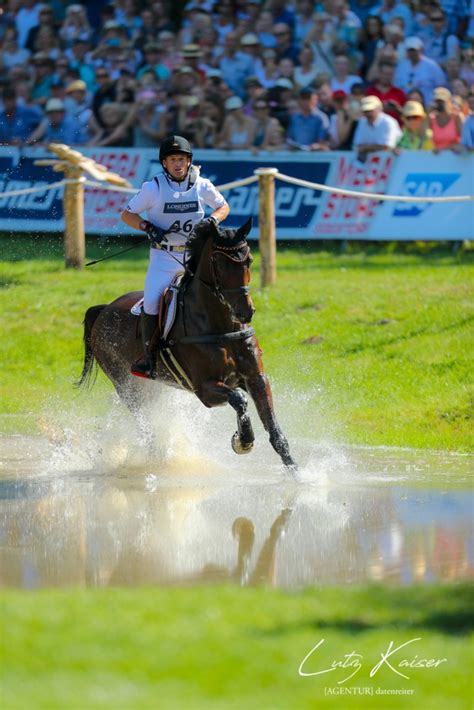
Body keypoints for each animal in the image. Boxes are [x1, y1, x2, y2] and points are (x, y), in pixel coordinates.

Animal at [78, 217, 296, 472]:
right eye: (218, 264)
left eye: (249, 260)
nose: (245, 312)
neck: (220, 325)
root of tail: (103, 310)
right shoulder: (204, 389)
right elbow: (239, 400)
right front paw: (242, 442)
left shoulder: (256, 378)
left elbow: (275, 431)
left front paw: (298, 474)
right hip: (126, 385)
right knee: (145, 424)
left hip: (153, 386)